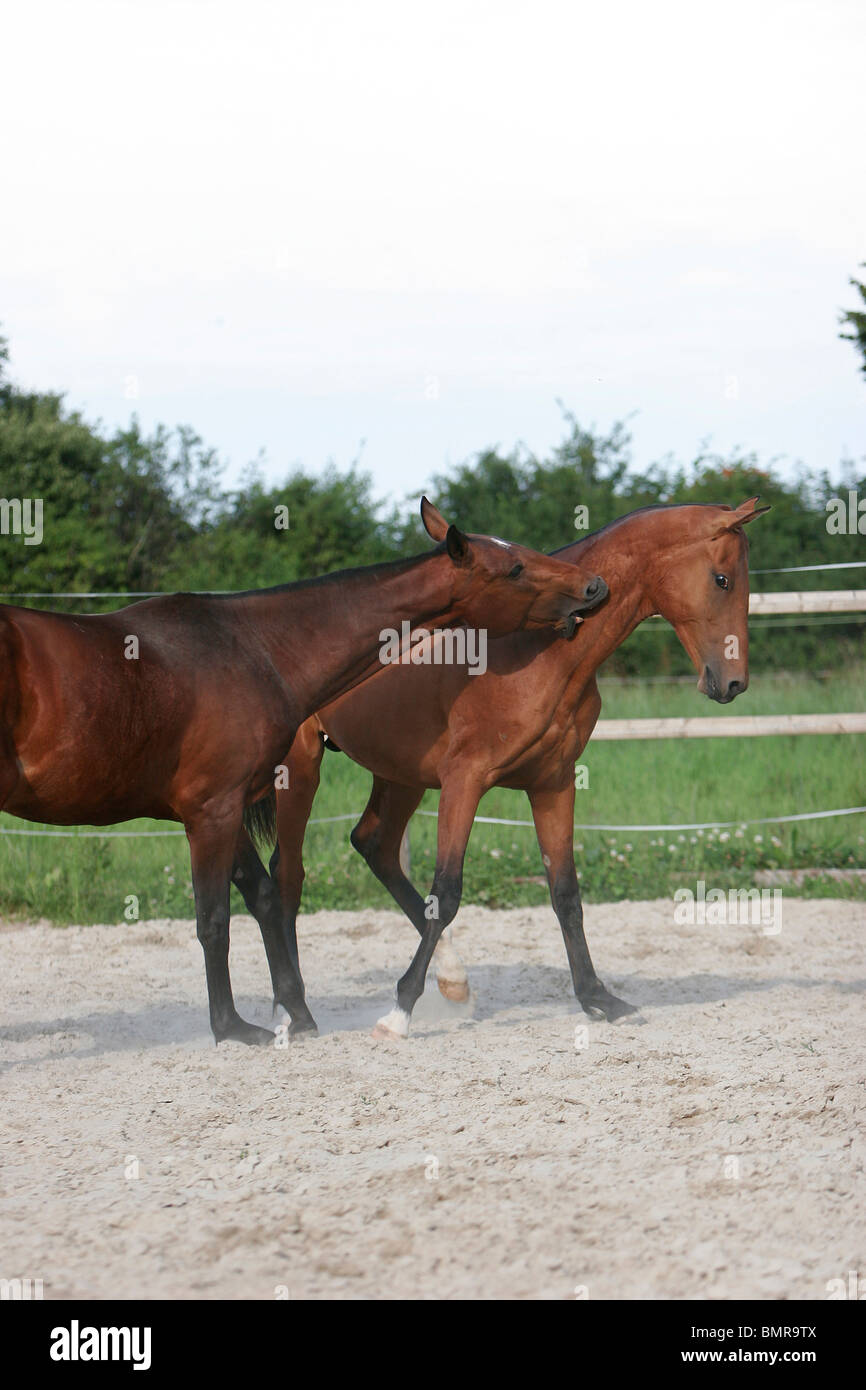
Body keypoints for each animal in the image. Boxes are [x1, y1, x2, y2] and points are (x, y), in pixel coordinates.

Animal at [0, 498, 608, 1044]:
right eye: (515, 568)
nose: (594, 587)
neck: (254, 649)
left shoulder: (219, 810)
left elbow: (264, 898)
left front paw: (297, 1014)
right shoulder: (212, 812)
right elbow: (214, 919)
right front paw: (233, 1028)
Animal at [246, 496, 769, 1039]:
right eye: (722, 579)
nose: (732, 682)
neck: (537, 650)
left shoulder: (553, 783)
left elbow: (565, 893)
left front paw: (598, 997)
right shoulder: (464, 782)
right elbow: (447, 890)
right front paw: (399, 1013)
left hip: (399, 774)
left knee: (375, 845)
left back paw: (454, 981)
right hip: (301, 771)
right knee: (288, 874)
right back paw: (295, 1009)